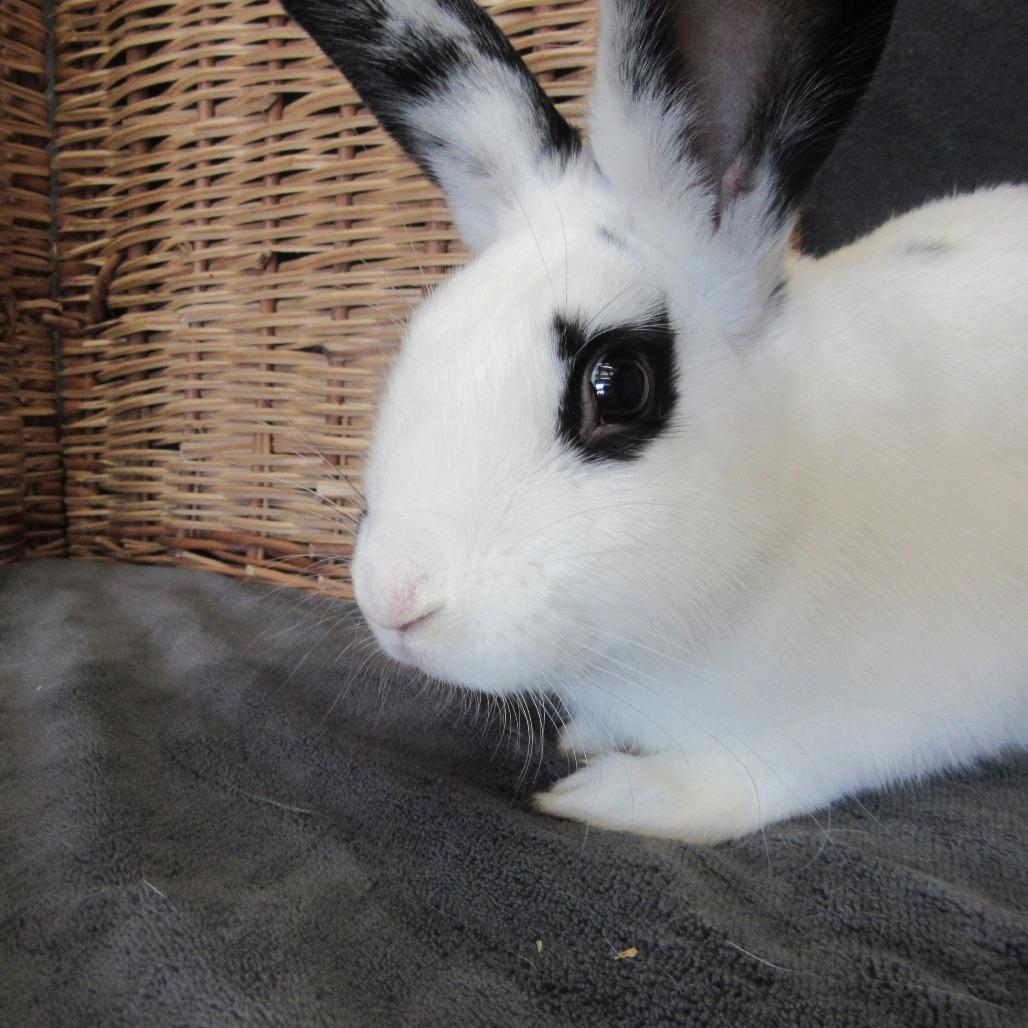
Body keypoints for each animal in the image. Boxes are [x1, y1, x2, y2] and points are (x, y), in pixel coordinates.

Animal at [282, 0, 1028, 842]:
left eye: (618, 385)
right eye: (423, 332)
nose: (394, 601)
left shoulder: (837, 734)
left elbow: (734, 789)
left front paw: (604, 793)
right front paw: (588, 738)